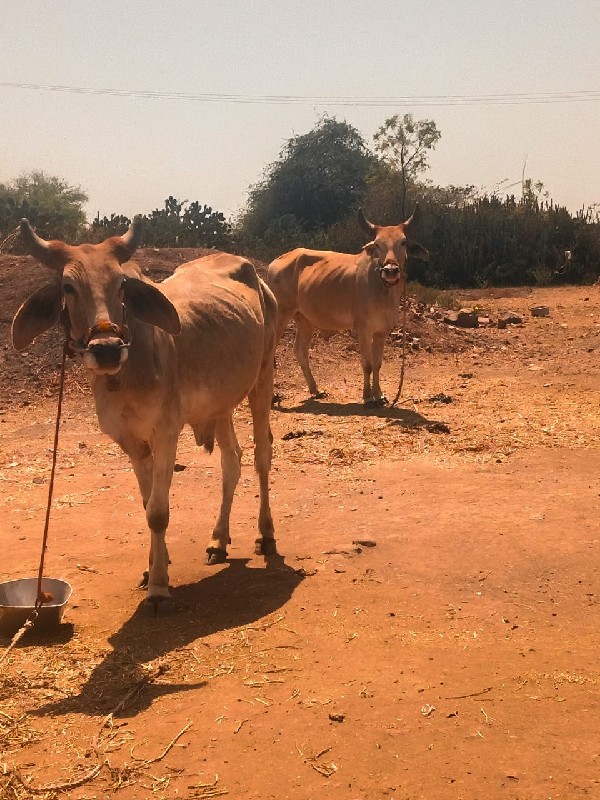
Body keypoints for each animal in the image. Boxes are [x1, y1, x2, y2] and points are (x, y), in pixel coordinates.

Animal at [11, 217, 278, 608]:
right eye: (67, 286)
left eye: (121, 283)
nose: (106, 349)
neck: (124, 375)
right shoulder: (130, 442)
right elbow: (146, 501)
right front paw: (153, 567)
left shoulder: (165, 432)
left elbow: (158, 512)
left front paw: (159, 587)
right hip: (220, 403)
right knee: (232, 460)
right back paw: (218, 540)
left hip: (262, 380)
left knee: (261, 456)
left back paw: (266, 534)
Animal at [266, 206, 426, 406]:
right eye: (377, 244)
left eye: (403, 242)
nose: (391, 271)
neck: (383, 289)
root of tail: (275, 262)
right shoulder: (363, 329)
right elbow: (367, 364)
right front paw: (367, 396)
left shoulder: (382, 331)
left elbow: (378, 364)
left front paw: (379, 394)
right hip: (280, 315)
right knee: (272, 352)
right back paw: (272, 396)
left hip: (304, 320)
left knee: (300, 350)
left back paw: (315, 389)